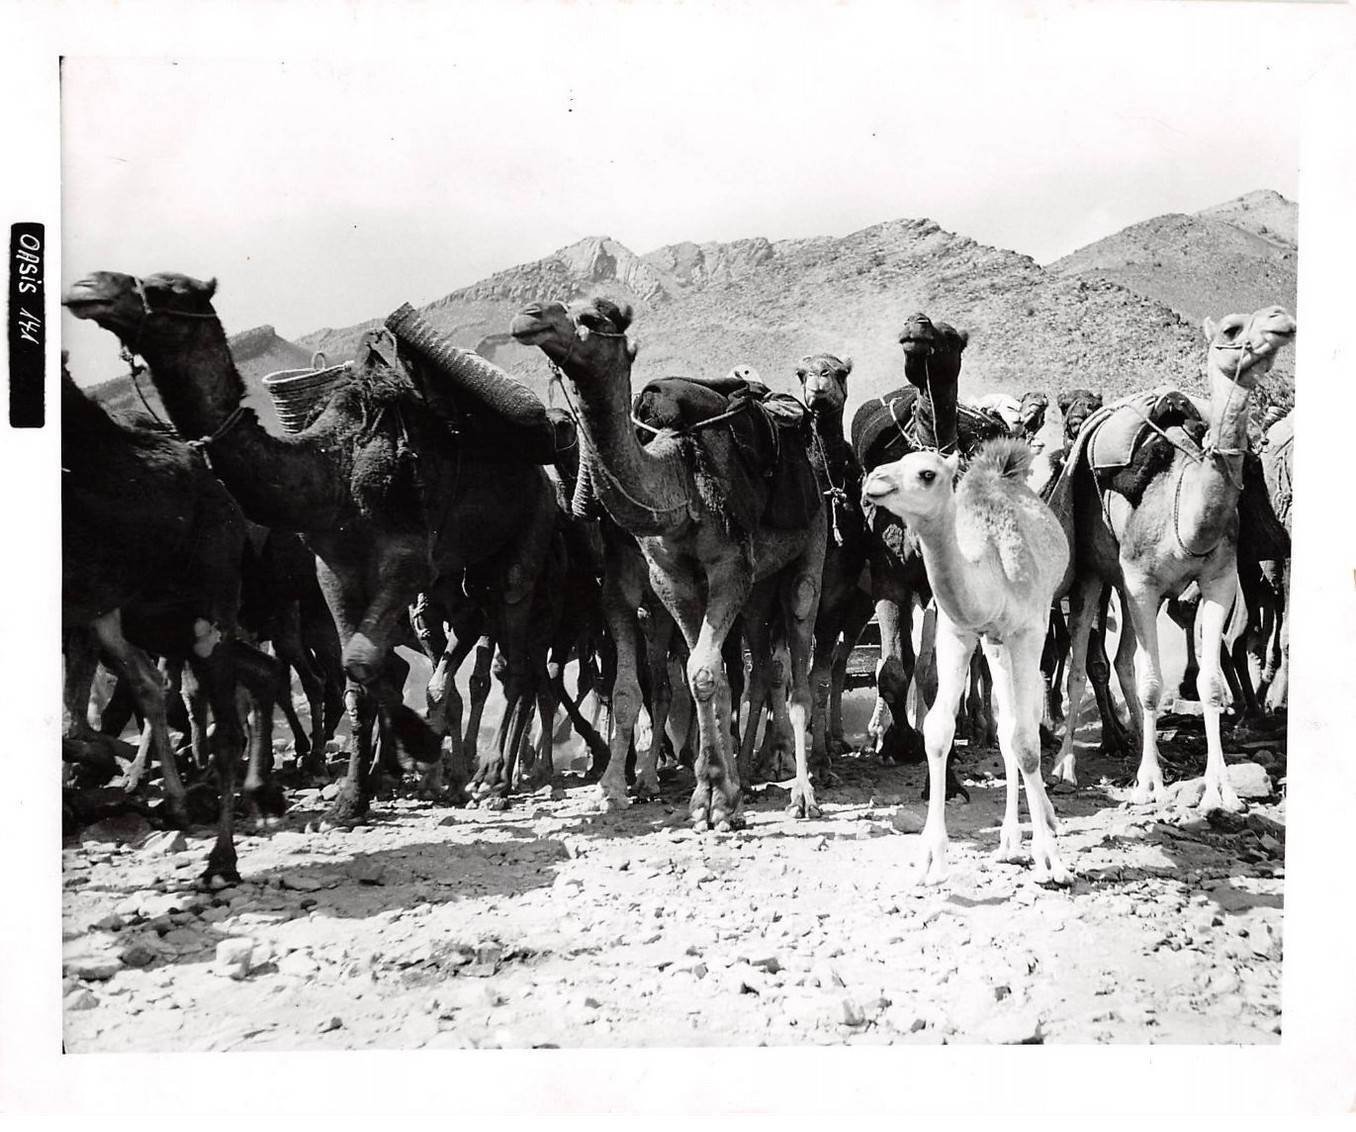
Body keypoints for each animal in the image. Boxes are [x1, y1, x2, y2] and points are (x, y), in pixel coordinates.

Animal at [64, 271, 559, 824]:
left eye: (166, 288)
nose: (89, 287)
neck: (333, 468)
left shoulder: (405, 561)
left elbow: (359, 662)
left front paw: (413, 749)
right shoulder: (333, 570)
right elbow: (357, 679)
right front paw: (351, 799)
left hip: (529, 531)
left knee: (516, 664)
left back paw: (492, 779)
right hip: (461, 577)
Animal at [511, 296, 827, 828]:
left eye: (595, 317)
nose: (528, 317)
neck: (678, 480)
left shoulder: (728, 569)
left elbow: (701, 673)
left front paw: (715, 799)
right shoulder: (668, 581)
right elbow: (675, 682)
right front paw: (704, 795)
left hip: (811, 551)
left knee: (799, 667)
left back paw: (801, 792)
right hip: (758, 589)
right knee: (761, 667)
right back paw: (746, 773)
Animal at [863, 439, 1070, 885]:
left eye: (926, 474)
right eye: (896, 460)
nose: (874, 480)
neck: (992, 570)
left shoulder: (1028, 629)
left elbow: (1028, 741)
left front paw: (1051, 861)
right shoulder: (959, 630)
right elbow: (940, 730)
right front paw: (930, 859)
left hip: (1030, 624)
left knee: (1022, 723)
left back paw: (1044, 822)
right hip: (993, 643)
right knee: (1006, 725)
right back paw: (1009, 843)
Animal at [1052, 306, 1296, 811]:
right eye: (1231, 329)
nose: (1280, 319)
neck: (1185, 507)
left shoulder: (1217, 580)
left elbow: (1209, 683)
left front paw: (1222, 788)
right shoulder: (1143, 584)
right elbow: (1150, 684)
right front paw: (1148, 784)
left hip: (1129, 587)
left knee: (1124, 659)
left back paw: (1145, 750)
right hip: (1093, 574)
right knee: (1082, 663)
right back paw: (1065, 766)